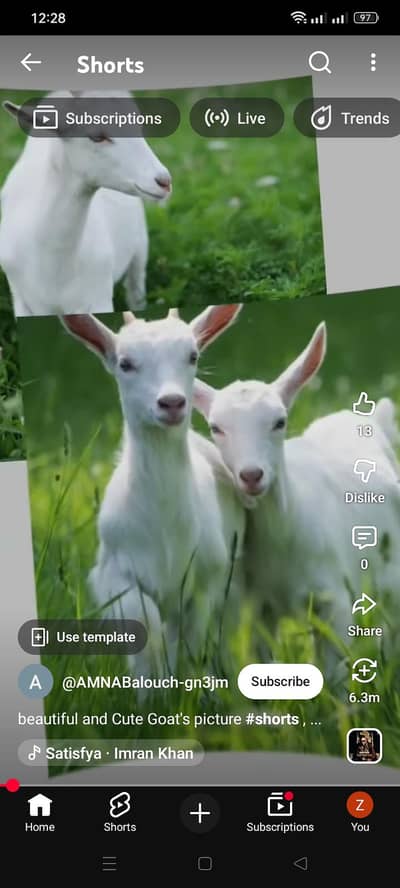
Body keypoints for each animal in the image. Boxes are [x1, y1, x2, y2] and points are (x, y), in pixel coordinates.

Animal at [62, 305, 245, 674]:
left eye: (192, 356)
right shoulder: (115, 574)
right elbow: (145, 632)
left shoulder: (205, 580)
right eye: (125, 363)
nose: (172, 402)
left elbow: (187, 643)